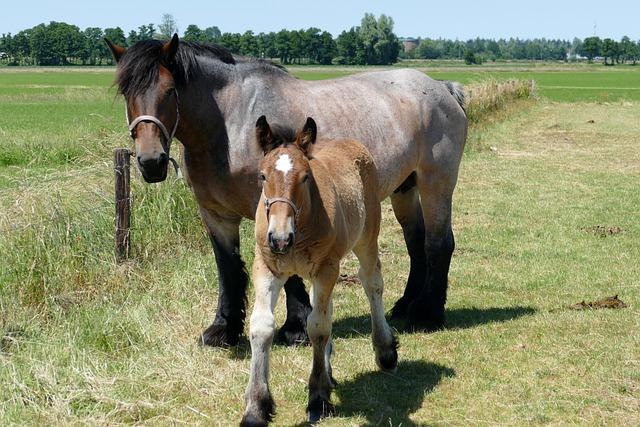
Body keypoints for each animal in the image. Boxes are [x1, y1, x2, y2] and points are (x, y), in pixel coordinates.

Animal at [105, 34, 464, 348]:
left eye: (169, 90)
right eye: (125, 92)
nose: (151, 161)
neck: (231, 124)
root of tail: (443, 88)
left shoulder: (277, 208)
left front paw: (296, 329)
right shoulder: (215, 214)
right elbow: (227, 267)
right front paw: (222, 329)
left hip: (436, 183)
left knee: (438, 243)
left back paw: (427, 314)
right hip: (405, 188)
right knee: (416, 242)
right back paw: (405, 305)